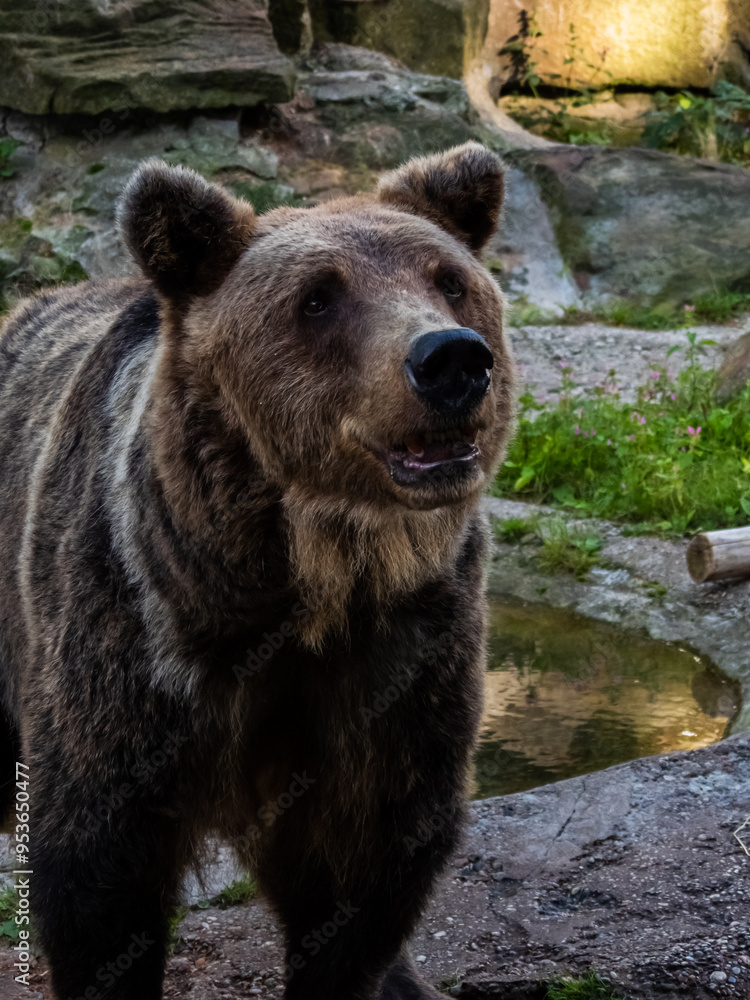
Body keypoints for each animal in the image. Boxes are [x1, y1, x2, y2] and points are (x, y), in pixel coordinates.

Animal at [0, 141, 514, 999]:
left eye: (449, 280)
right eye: (317, 298)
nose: (450, 359)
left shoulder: (401, 653)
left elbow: (367, 860)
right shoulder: (134, 630)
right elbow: (99, 869)